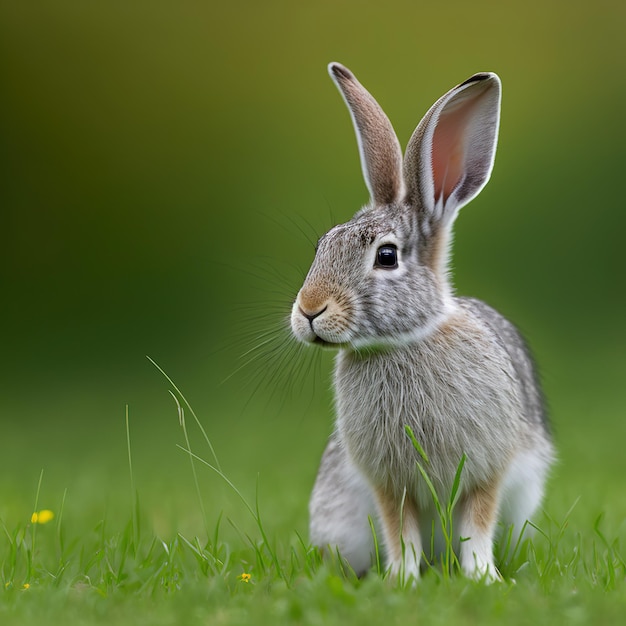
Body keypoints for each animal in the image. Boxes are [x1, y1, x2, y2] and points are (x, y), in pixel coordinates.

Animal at [288, 63, 552, 580]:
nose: (309, 309)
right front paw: (403, 579)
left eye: (387, 256)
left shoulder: (488, 469)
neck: (405, 341)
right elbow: (399, 528)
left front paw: (481, 577)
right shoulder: (389, 483)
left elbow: (477, 523)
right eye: (322, 246)